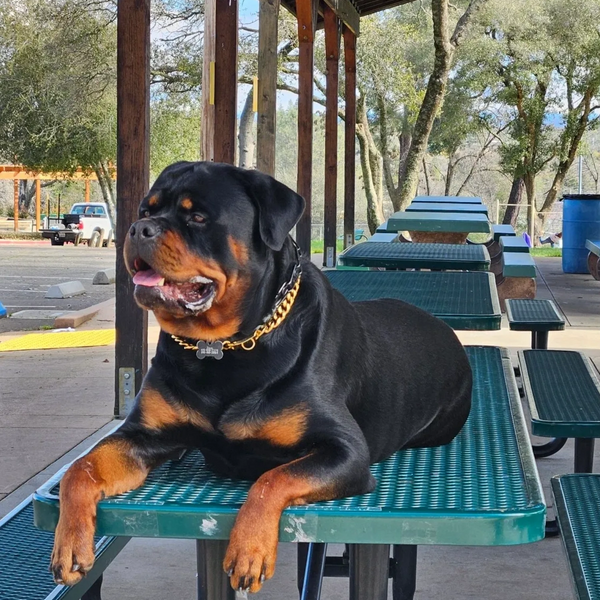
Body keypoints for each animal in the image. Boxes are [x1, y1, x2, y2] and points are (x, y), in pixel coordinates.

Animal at [50, 162, 474, 592]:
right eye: (144, 210)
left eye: (197, 216)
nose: (139, 229)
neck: (221, 348)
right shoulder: (143, 435)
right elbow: (80, 469)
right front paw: (69, 544)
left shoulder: (346, 452)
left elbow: (273, 478)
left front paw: (248, 549)